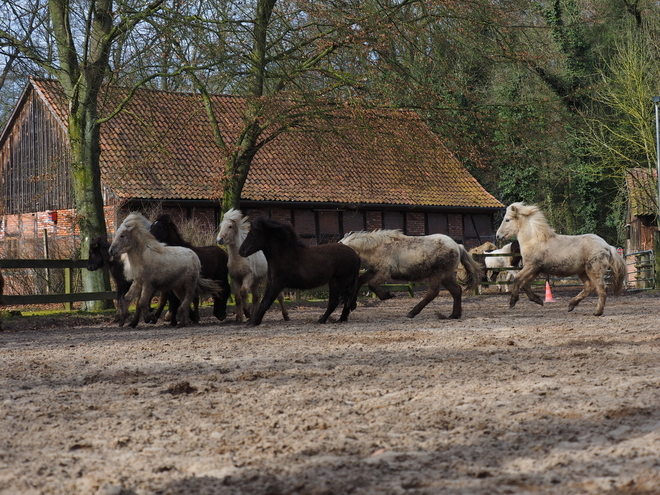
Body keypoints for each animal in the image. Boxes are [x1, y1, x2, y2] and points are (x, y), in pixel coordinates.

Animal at [340, 231, 484, 320]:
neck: (377, 248)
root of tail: (457, 246)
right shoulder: (373, 270)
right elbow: (360, 281)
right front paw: (351, 304)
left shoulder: (384, 273)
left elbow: (371, 285)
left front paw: (387, 295)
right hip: (446, 277)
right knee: (456, 291)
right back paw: (454, 315)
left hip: (438, 275)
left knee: (433, 293)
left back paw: (412, 312)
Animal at [498, 202, 628, 316]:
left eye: (507, 219)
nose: (498, 236)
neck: (535, 240)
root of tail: (607, 246)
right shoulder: (535, 270)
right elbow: (525, 283)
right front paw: (538, 300)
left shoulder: (532, 267)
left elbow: (518, 279)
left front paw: (512, 301)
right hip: (582, 272)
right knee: (589, 287)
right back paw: (571, 305)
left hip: (594, 271)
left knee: (601, 289)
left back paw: (597, 312)